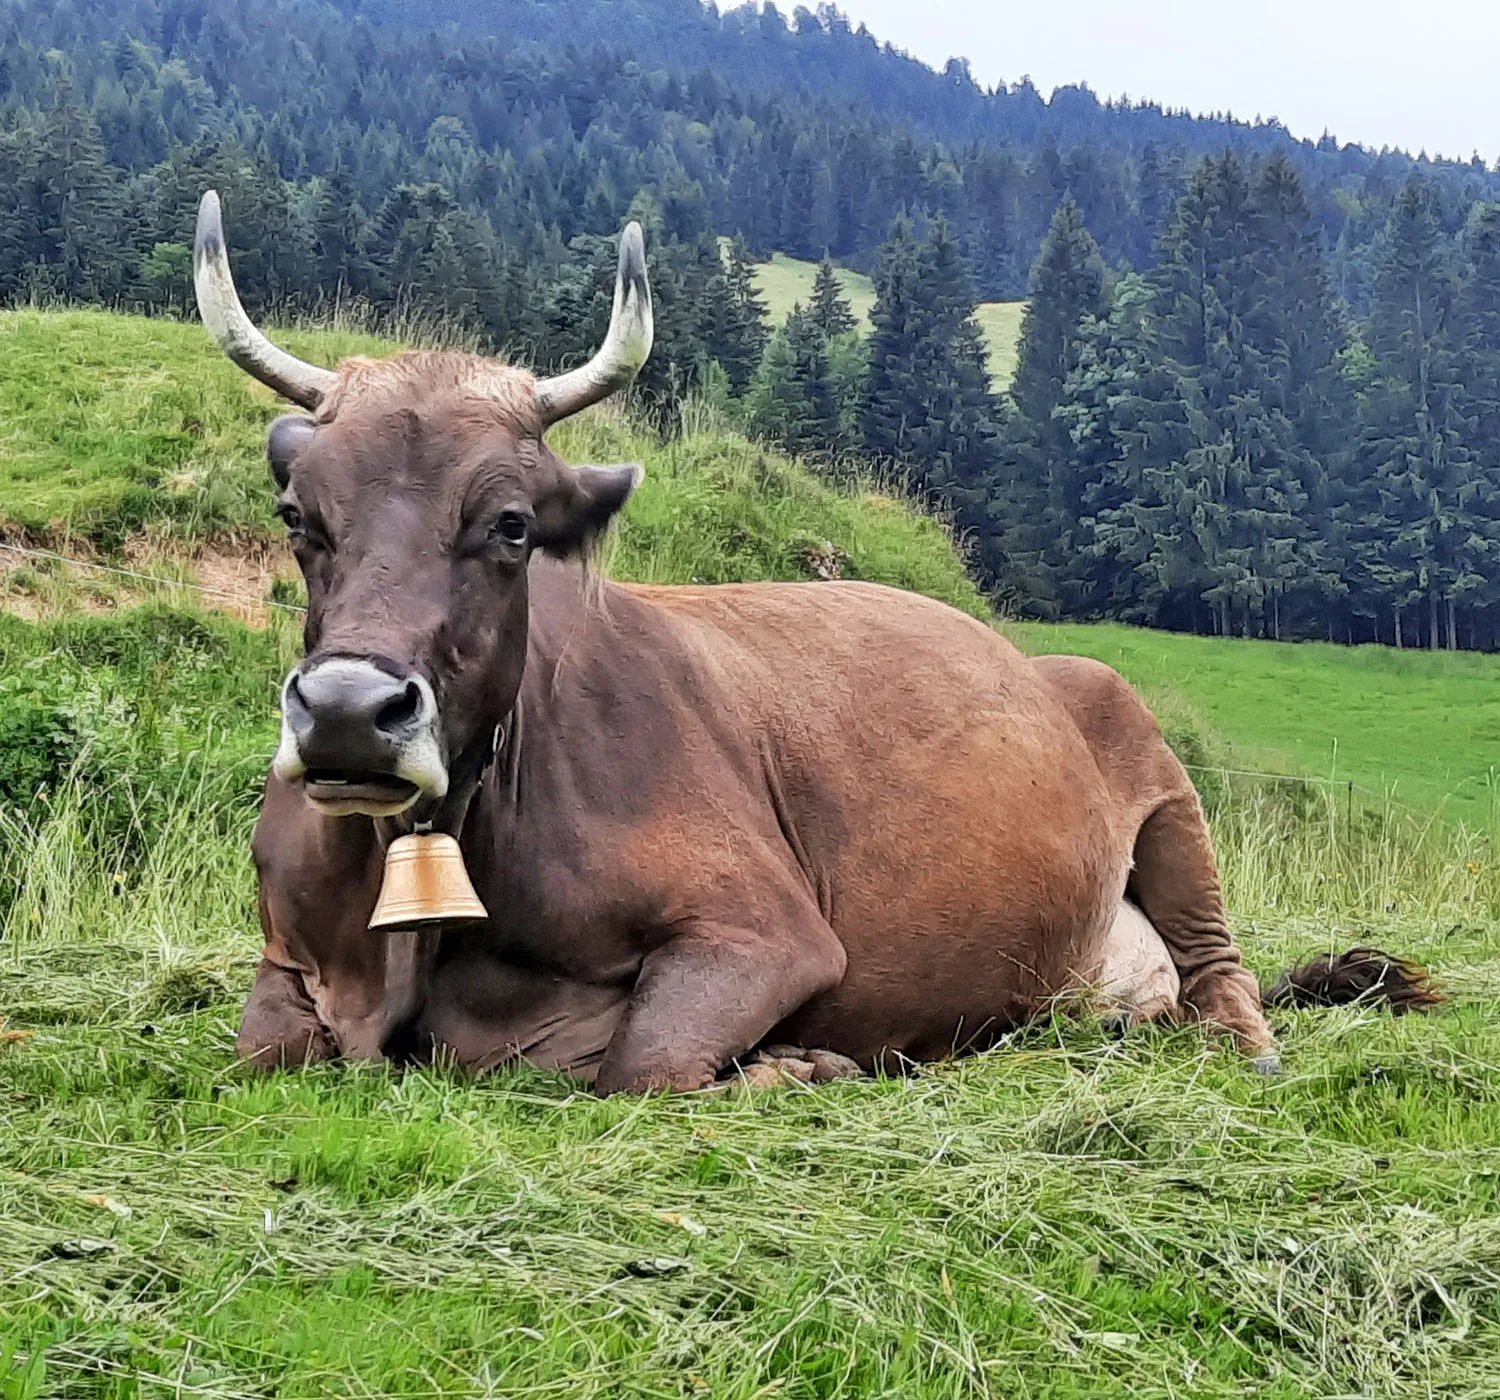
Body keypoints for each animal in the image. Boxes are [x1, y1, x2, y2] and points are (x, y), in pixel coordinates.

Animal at [193, 193, 1434, 1094]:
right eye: (298, 515)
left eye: (508, 525)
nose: (349, 711)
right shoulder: (285, 956)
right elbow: (263, 1045)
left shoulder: (767, 930)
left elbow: (639, 1059)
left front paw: (796, 1063)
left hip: (1161, 778)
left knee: (1223, 970)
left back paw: (1241, 1042)